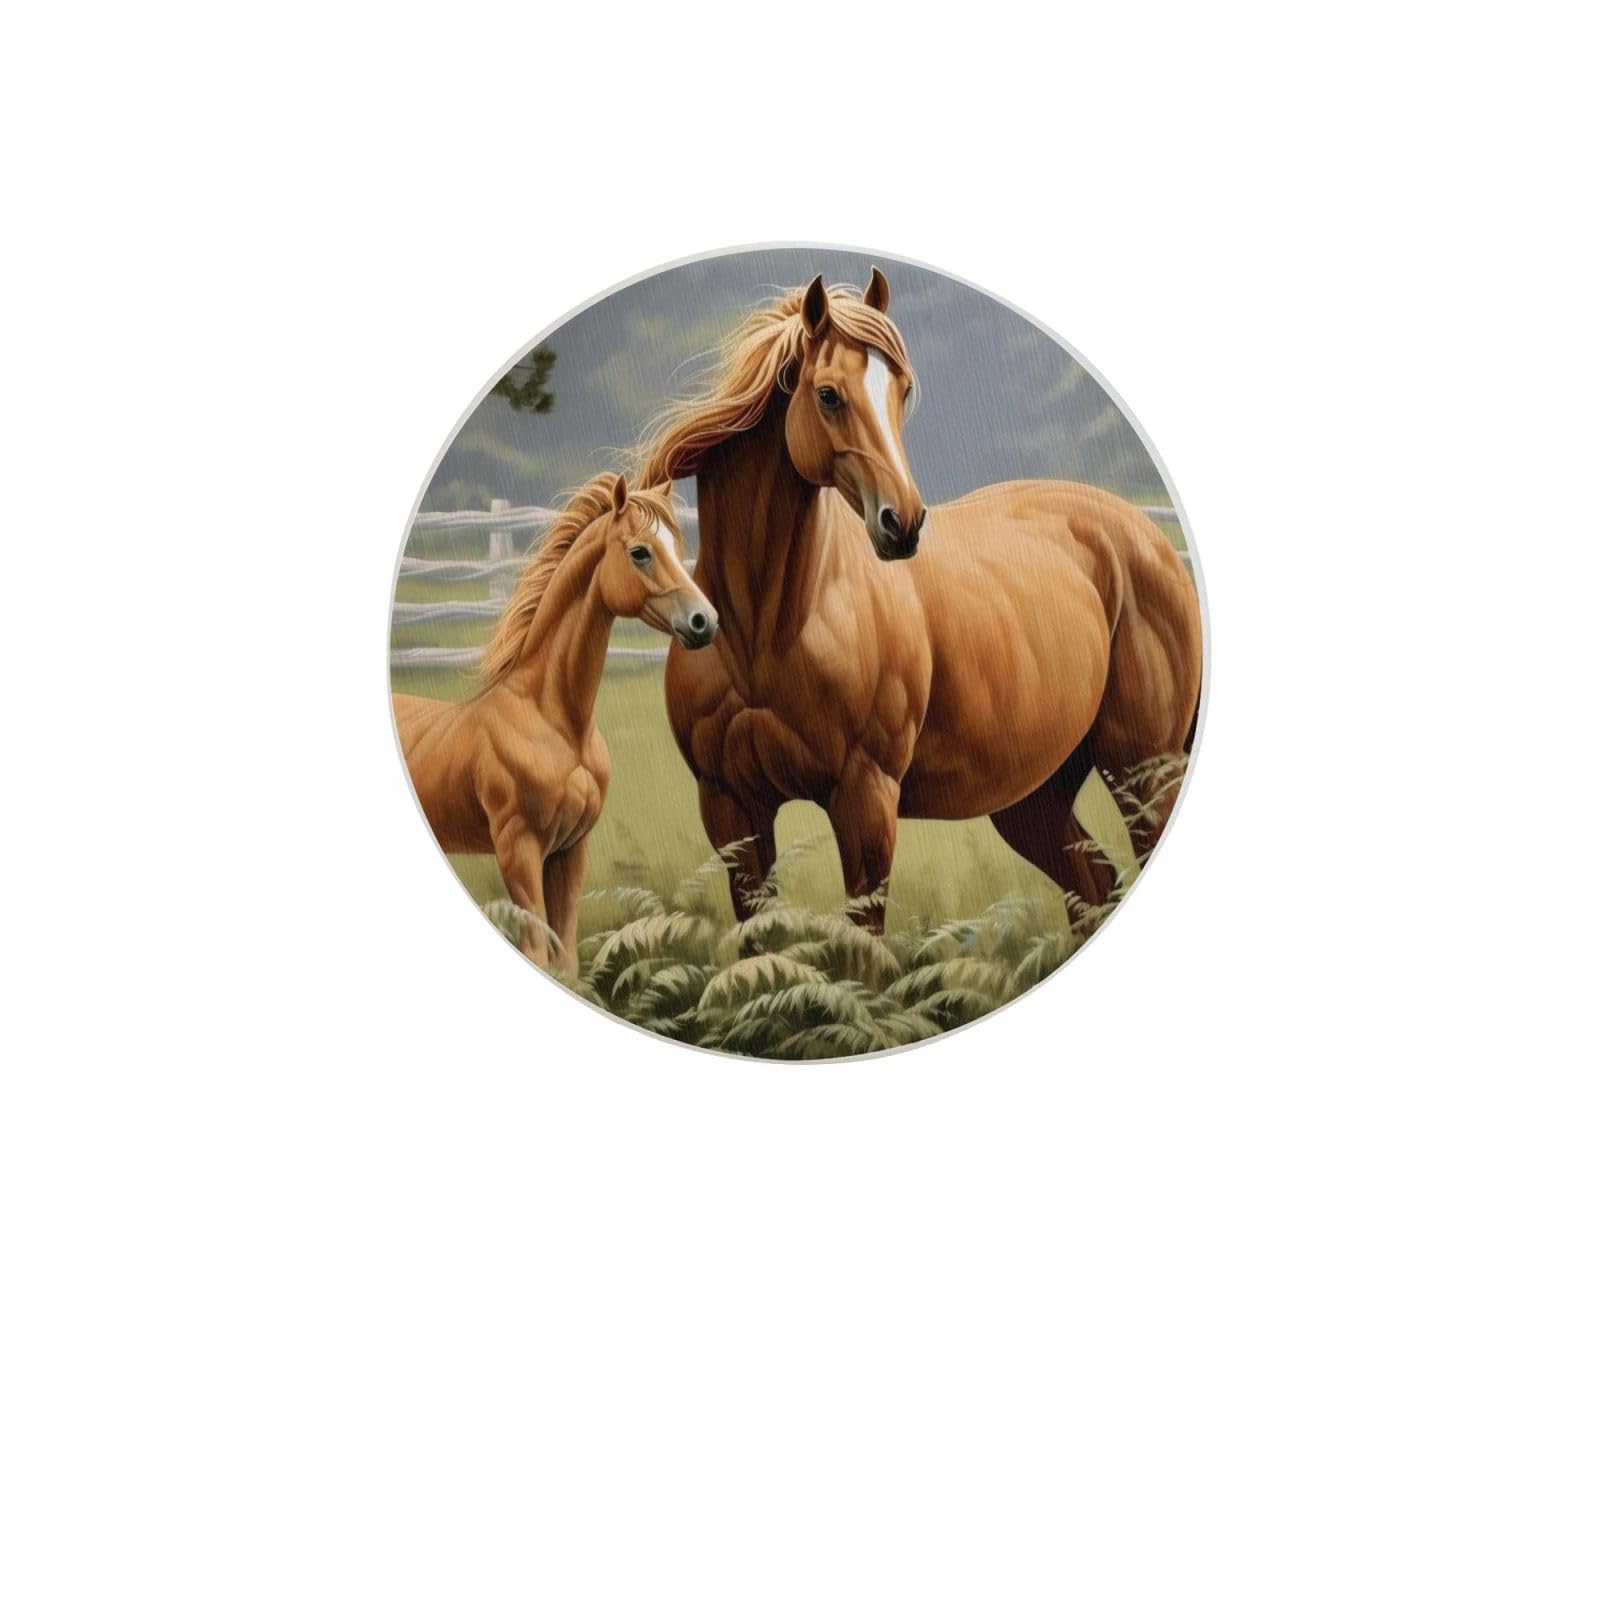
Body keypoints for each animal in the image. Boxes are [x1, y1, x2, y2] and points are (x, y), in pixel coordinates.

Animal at [394, 473, 717, 969]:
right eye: (640, 552)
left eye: (677, 546)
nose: (705, 621)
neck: (556, 723)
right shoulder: (519, 850)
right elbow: (538, 951)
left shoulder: (570, 851)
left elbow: (566, 961)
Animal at [636, 268, 1202, 934]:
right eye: (828, 395)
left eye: (902, 391)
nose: (901, 523)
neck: (765, 633)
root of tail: (1146, 537)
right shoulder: (731, 813)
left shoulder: (865, 799)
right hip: (1033, 796)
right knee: (1093, 887)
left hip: (1144, 770)